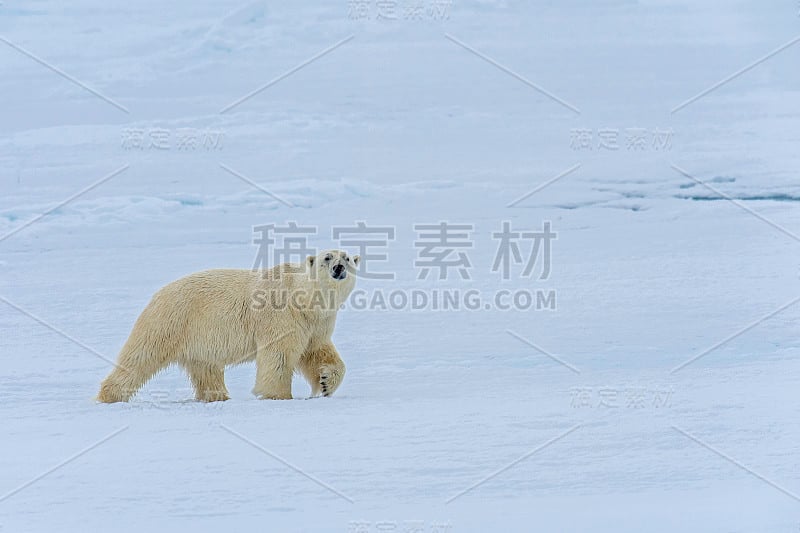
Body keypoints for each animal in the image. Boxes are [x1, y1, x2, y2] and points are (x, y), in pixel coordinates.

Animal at [97, 250, 360, 404]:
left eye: (347, 257)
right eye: (327, 257)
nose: (339, 267)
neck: (303, 298)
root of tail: (158, 294)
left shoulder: (315, 323)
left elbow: (318, 351)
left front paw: (325, 383)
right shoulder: (281, 316)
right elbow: (279, 355)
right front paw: (278, 395)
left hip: (197, 337)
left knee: (206, 368)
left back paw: (217, 396)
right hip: (171, 321)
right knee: (141, 356)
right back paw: (110, 395)